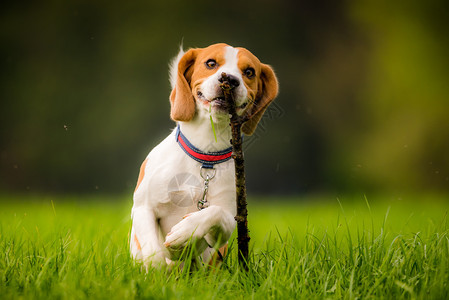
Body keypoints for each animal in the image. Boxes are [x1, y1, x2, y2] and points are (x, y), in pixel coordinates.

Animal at [129, 41, 276, 268]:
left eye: (249, 72)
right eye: (211, 63)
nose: (230, 80)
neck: (205, 156)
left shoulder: (223, 229)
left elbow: (215, 213)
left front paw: (185, 232)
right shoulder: (143, 208)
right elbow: (155, 254)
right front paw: (159, 267)